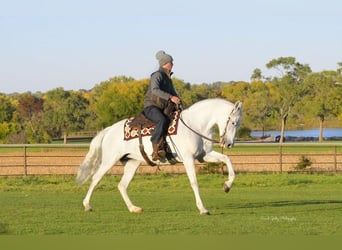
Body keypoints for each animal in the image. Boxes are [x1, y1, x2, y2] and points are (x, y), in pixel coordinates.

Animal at [77, 97, 243, 215]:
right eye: (233, 122)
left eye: (238, 123)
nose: (229, 144)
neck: (195, 125)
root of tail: (109, 129)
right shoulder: (188, 158)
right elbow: (194, 182)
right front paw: (203, 209)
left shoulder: (204, 156)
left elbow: (227, 160)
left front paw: (227, 186)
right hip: (109, 161)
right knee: (95, 179)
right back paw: (87, 205)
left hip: (132, 163)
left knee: (122, 185)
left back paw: (134, 208)